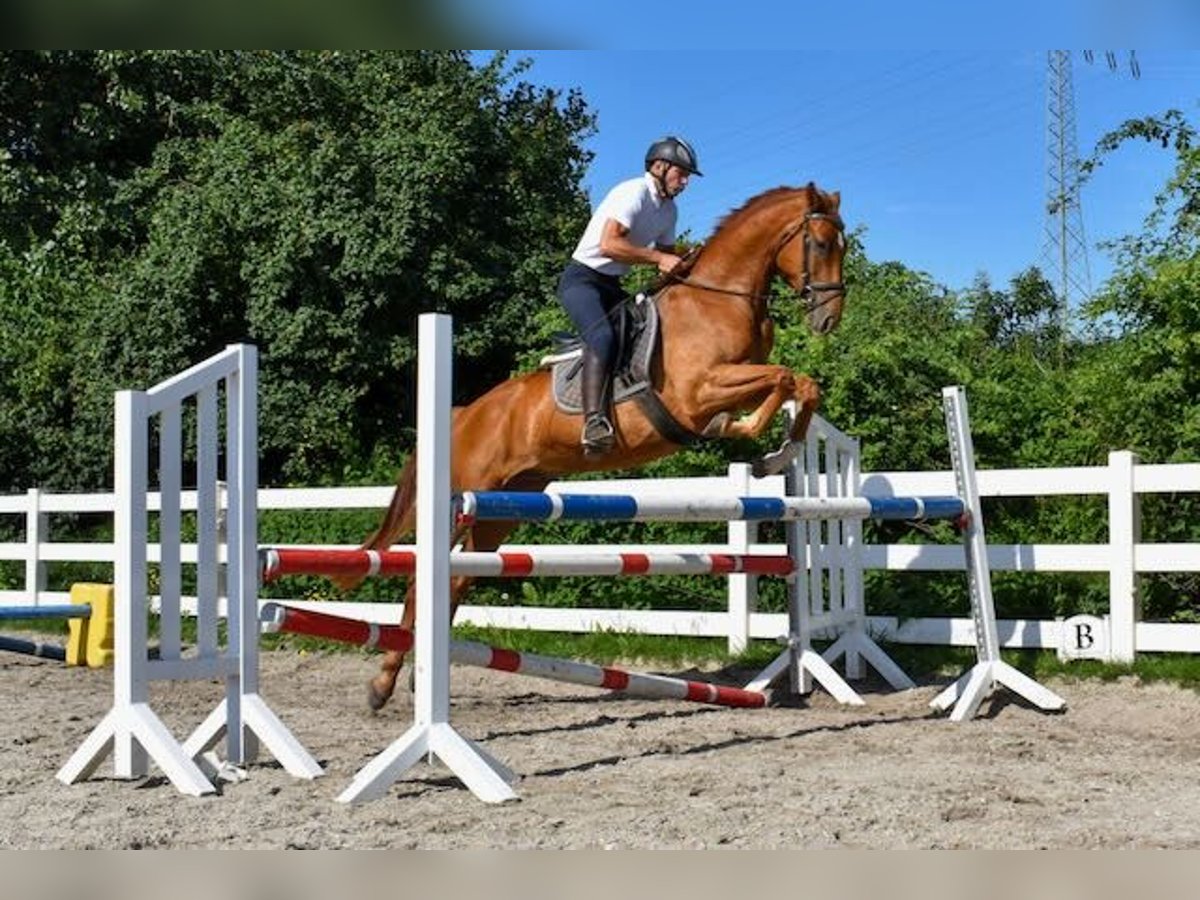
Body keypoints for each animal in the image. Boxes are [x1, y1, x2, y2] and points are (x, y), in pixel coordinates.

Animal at [338, 181, 849, 710]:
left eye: (844, 246)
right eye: (820, 245)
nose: (829, 319)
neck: (720, 299)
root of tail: (464, 414)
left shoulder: (732, 383)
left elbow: (801, 384)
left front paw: (775, 450)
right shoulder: (698, 391)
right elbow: (784, 378)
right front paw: (757, 441)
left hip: (502, 509)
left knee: (456, 578)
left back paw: (415, 675)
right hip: (465, 497)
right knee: (420, 579)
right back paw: (384, 683)